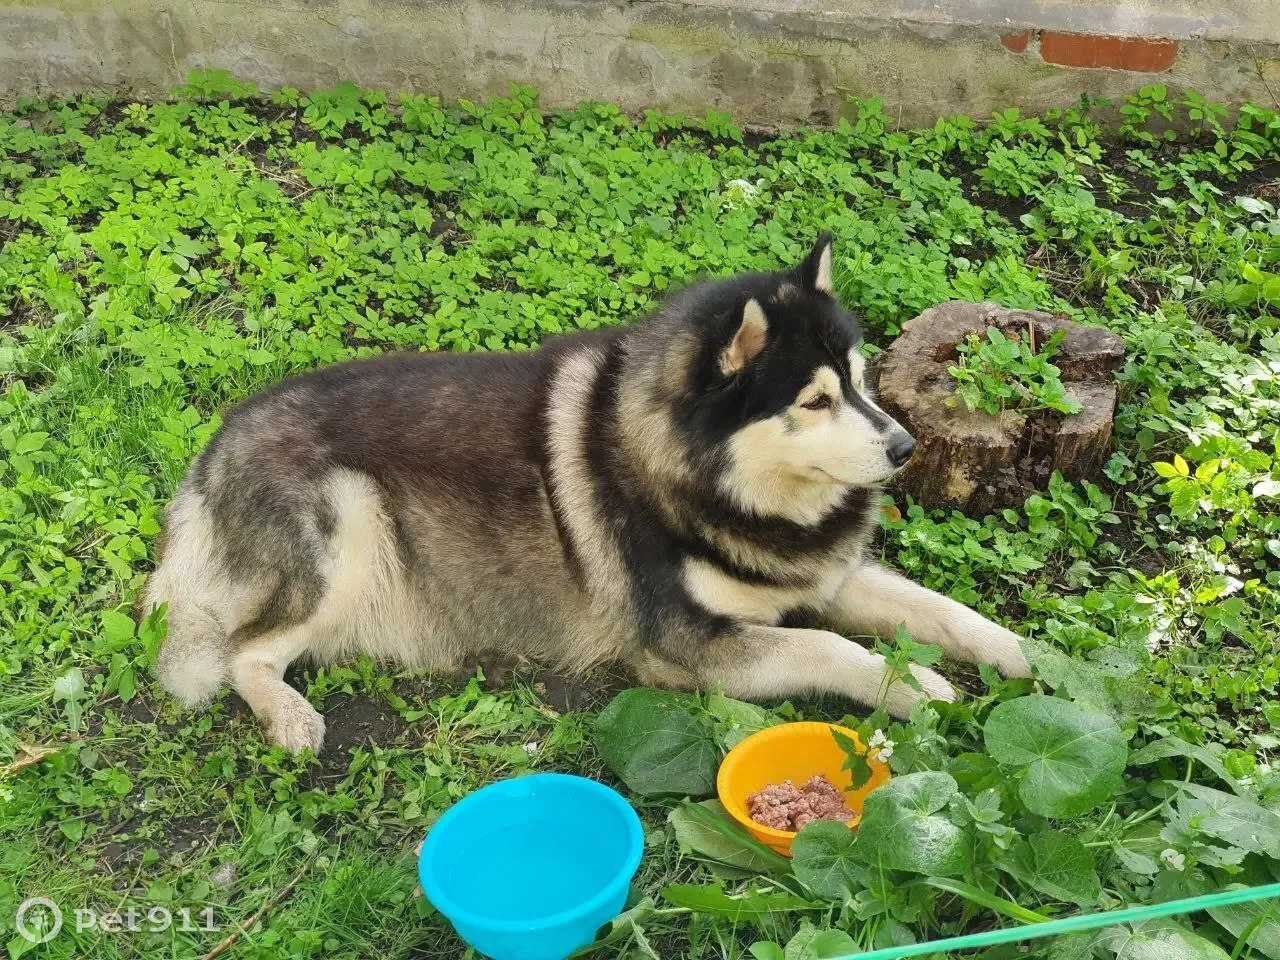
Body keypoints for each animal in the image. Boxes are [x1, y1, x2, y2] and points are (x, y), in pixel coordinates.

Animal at [145, 231, 1034, 752]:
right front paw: (920, 688)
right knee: (241, 651)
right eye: (813, 401)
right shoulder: (688, 647)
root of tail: (217, 442)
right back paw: (289, 716)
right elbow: (831, 647)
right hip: (351, 523)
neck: (707, 480)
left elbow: (941, 611)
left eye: (856, 379)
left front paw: (1023, 654)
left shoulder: (826, 575)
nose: (905, 446)